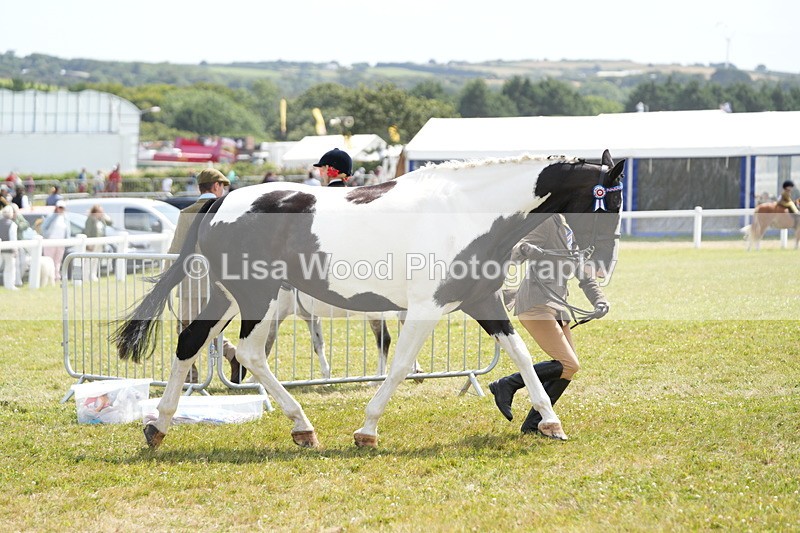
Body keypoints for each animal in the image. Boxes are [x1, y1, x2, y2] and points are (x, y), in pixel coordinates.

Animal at [114, 150, 625, 449]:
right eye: (609, 200)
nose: (601, 262)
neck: (467, 213)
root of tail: (221, 203)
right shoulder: (424, 310)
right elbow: (399, 367)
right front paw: (367, 430)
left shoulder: (484, 302)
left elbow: (519, 353)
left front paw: (550, 422)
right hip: (260, 298)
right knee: (249, 353)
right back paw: (302, 426)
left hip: (229, 297)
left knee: (191, 342)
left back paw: (158, 427)